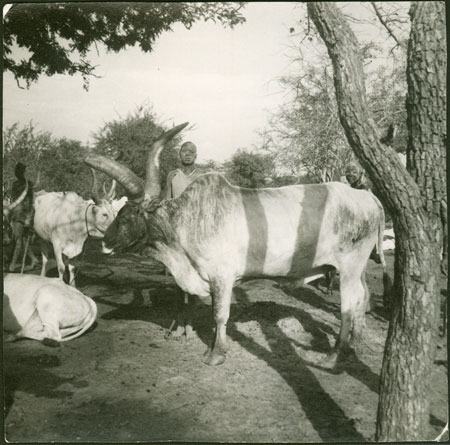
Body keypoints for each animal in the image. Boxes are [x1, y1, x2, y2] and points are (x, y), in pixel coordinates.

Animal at [86, 121, 388, 364]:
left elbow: (220, 315)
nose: (105, 241)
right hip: (358, 268)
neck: (189, 219)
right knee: (363, 296)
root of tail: (367, 197)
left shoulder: (222, 277)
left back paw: (334, 355)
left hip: (349, 267)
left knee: (349, 304)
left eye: (127, 215)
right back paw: (354, 343)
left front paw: (216, 354)